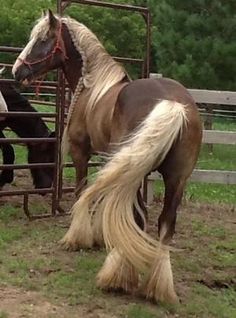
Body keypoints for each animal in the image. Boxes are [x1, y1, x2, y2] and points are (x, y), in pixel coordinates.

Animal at [12, 9, 201, 304]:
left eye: (43, 39)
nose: (15, 71)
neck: (93, 88)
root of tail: (171, 103)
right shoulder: (109, 159)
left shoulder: (81, 153)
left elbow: (81, 192)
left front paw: (78, 237)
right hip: (175, 178)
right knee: (164, 223)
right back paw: (156, 287)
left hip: (137, 173)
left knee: (138, 214)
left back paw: (118, 276)